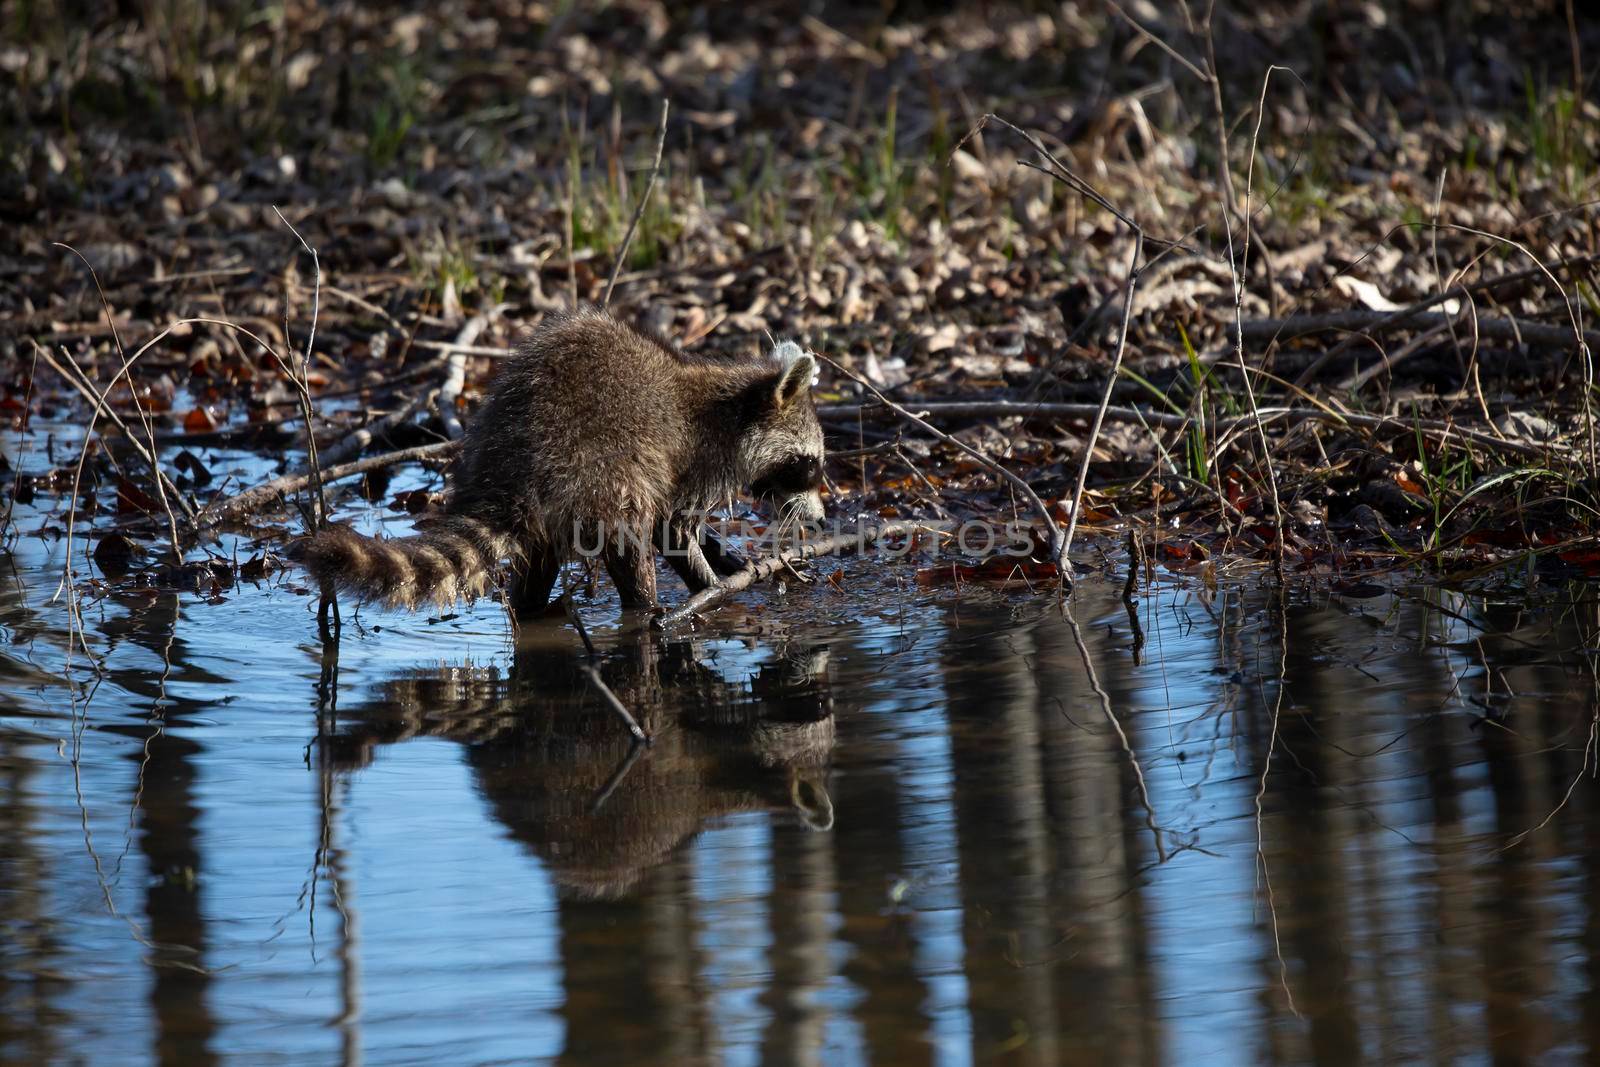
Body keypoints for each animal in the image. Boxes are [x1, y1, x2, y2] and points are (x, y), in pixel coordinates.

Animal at [296, 307, 832, 617]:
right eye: (811, 467)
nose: (823, 519)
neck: (735, 408)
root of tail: (510, 467)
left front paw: (729, 558)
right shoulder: (700, 460)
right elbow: (673, 529)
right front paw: (713, 581)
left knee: (538, 562)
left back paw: (531, 608)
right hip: (599, 468)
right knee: (629, 535)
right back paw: (648, 612)